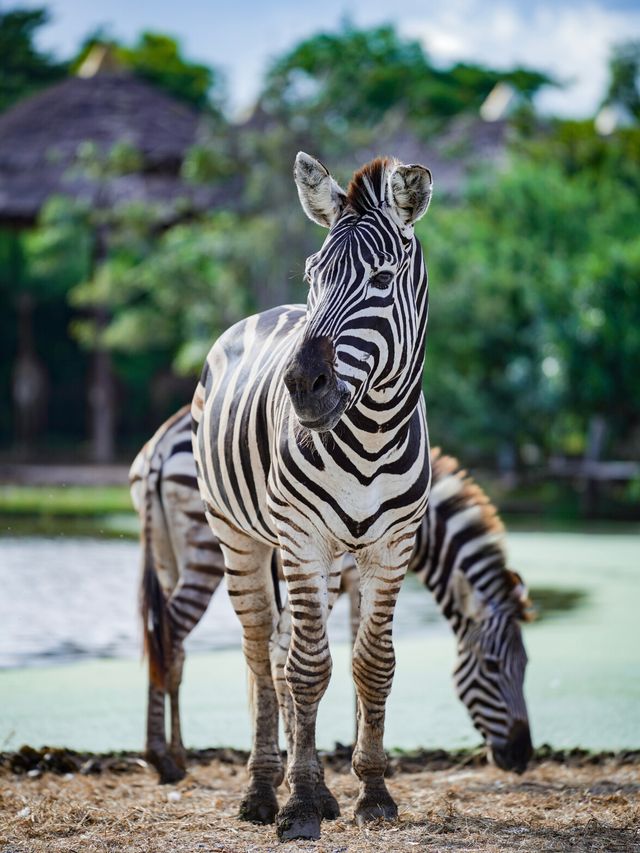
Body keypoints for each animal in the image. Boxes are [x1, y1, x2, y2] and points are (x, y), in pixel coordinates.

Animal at [131, 406, 536, 784]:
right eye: (491, 666)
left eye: (526, 665)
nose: (522, 757)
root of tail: (161, 446)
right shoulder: (353, 576)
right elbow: (351, 653)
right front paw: (357, 745)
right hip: (209, 550)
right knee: (171, 631)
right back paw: (163, 756)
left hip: (168, 557)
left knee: (167, 643)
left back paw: (174, 754)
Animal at [190, 150, 436, 836]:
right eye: (312, 275)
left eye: (382, 278)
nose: (300, 383)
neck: (371, 433)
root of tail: (261, 313)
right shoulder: (301, 541)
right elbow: (305, 672)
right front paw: (297, 806)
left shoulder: (392, 550)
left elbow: (369, 666)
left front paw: (372, 794)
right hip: (239, 537)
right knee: (261, 654)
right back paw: (260, 792)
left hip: (322, 564)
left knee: (288, 649)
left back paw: (322, 791)